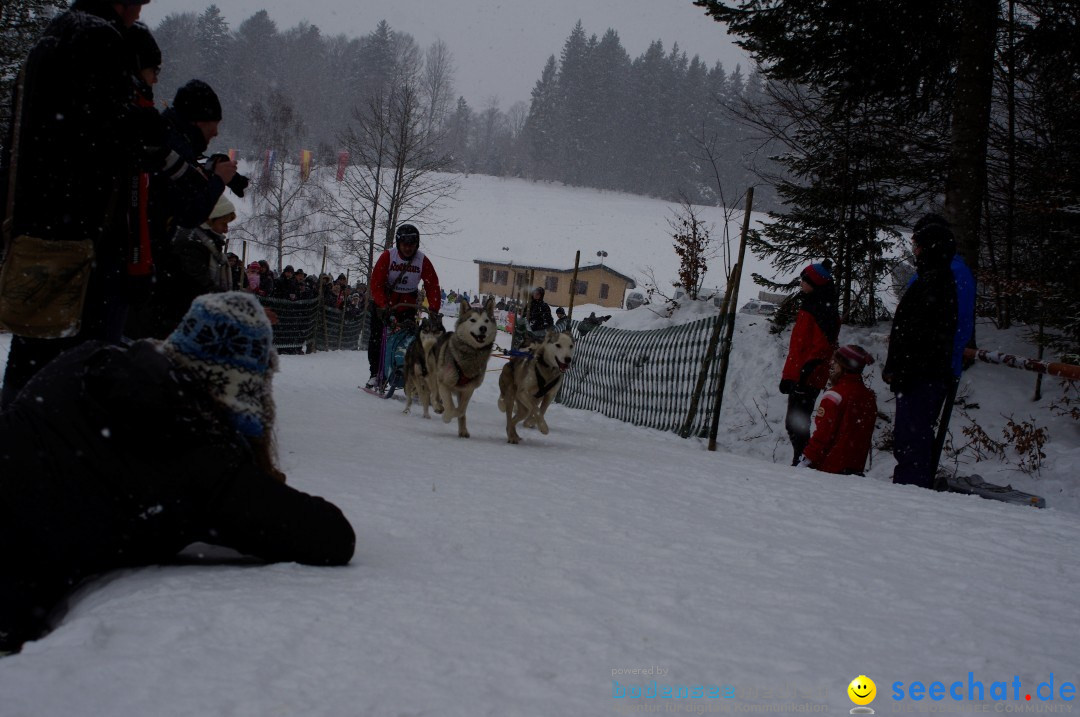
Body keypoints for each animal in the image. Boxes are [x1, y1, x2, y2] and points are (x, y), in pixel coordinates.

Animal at [429, 295, 496, 436]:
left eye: (486, 320)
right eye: (473, 320)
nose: (483, 328)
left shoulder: (468, 389)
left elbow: (461, 411)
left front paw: (461, 425)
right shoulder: (444, 383)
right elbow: (451, 406)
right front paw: (446, 417)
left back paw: (463, 431)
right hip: (434, 375)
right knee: (433, 393)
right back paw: (437, 406)